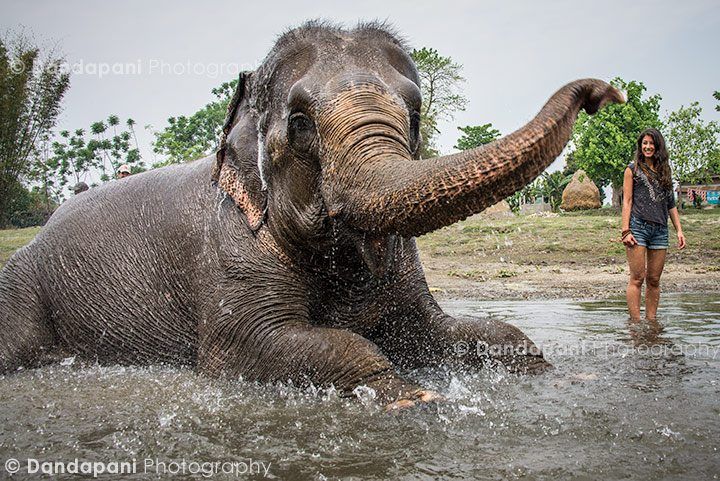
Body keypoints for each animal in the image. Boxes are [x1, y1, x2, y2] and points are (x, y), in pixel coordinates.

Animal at [0, 21, 623, 409]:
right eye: (299, 123)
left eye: (415, 110)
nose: (603, 94)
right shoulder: (231, 245)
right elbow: (246, 345)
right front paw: (412, 398)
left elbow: (439, 330)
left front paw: (562, 374)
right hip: (21, 281)